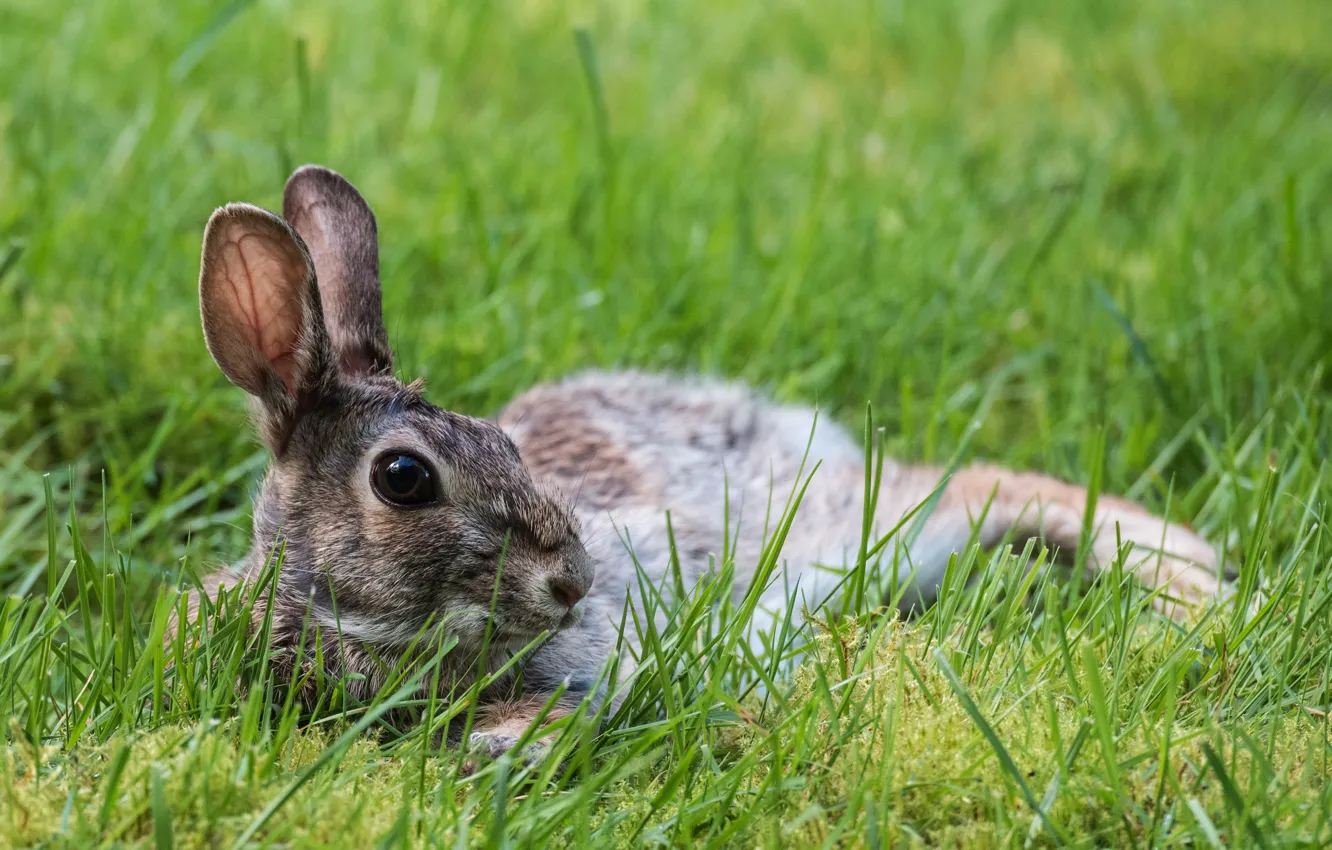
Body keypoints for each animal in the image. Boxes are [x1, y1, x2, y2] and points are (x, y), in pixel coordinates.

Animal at [194, 165, 1225, 761]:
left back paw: (1195, 586)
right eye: (403, 478)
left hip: (848, 525)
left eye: (505, 440)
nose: (574, 581)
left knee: (974, 486)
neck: (350, 625)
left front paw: (506, 748)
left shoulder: (591, 656)